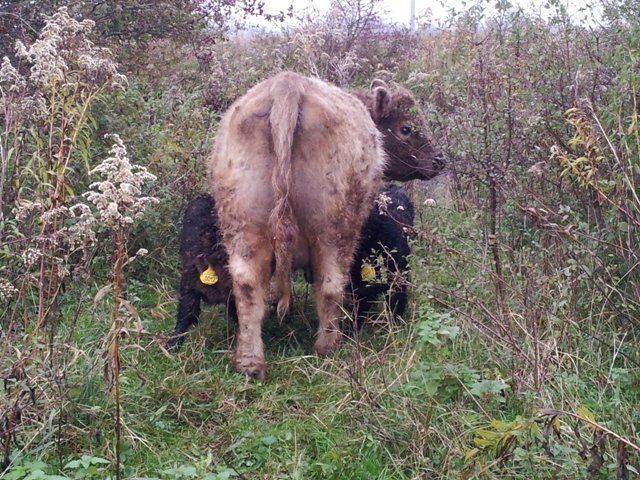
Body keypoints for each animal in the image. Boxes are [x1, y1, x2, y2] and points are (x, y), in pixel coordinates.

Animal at [210, 71, 444, 378]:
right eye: (406, 128)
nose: (439, 160)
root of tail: (287, 85)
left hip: (243, 228)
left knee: (247, 286)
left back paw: (250, 362)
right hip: (334, 232)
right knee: (331, 283)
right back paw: (329, 345)